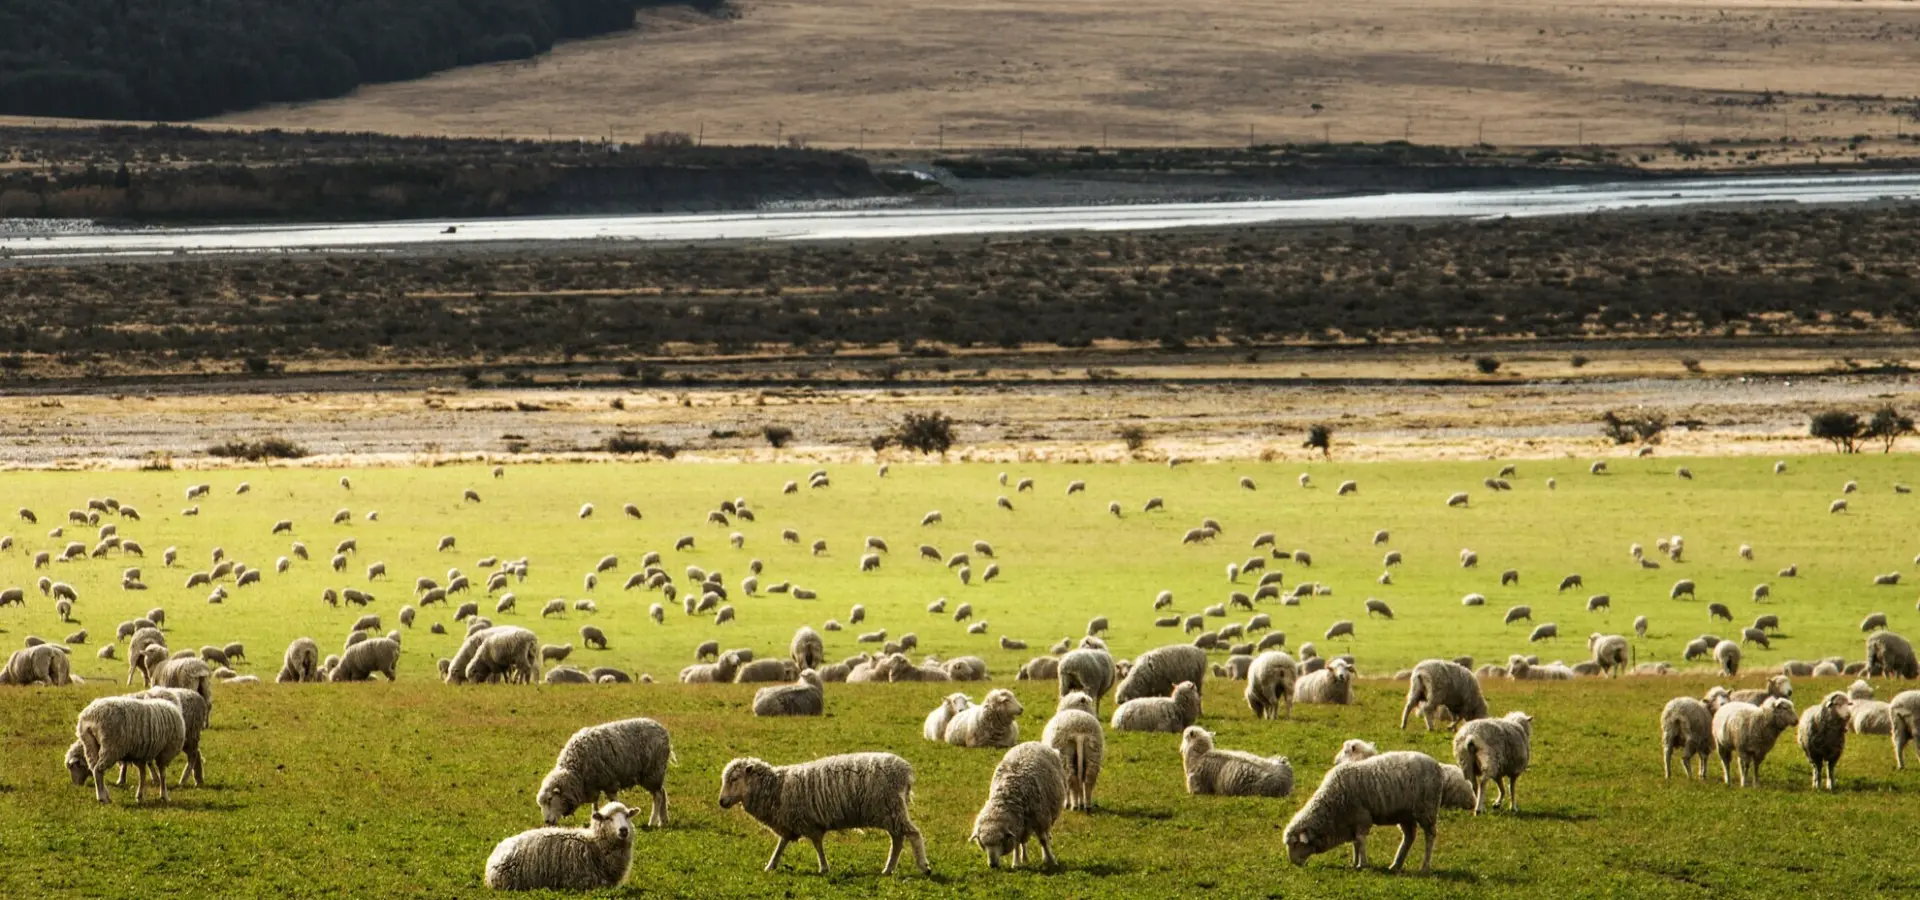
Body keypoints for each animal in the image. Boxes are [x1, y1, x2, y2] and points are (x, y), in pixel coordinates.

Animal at [718, 752, 930, 875]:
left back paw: (923, 866)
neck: (776, 787)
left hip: (891, 808)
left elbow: (817, 845)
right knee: (898, 840)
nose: (721, 802)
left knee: (913, 834)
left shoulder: (808, 822)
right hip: (890, 812)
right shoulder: (790, 822)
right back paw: (888, 869)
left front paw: (824, 868)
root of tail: (905, 771)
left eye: (734, 779)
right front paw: (771, 866)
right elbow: (781, 844)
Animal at [1283, 751, 1442, 874]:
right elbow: (1355, 843)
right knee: (1409, 837)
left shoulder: (1362, 817)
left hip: (1426, 809)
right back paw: (1396, 865)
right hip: (1405, 815)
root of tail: (1436, 765)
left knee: (1430, 836)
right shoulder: (1351, 820)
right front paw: (1354, 862)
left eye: (1295, 843)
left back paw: (1424, 867)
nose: (1293, 862)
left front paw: (1363, 864)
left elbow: (1360, 841)